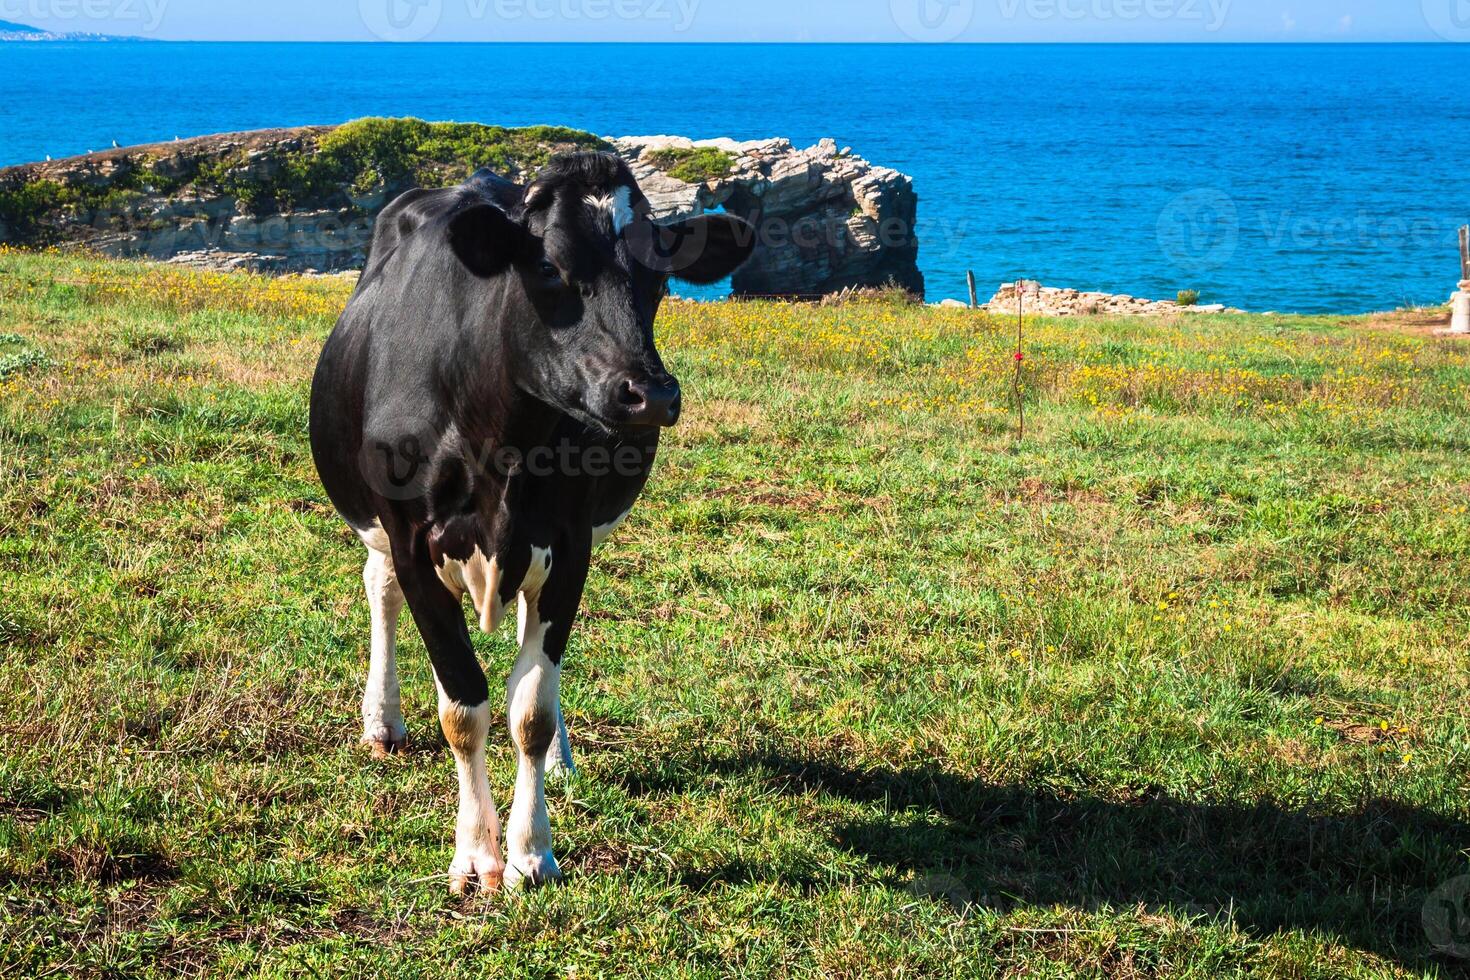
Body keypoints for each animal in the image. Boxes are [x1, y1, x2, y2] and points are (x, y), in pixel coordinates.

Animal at [305, 149, 752, 893]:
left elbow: (530, 709)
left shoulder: (570, 547)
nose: (650, 394)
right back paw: (383, 721)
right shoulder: (413, 543)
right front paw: (475, 856)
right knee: (380, 590)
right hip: (380, 528)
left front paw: (531, 851)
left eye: (659, 275)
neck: (501, 439)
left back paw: (561, 761)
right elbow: (462, 707)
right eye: (549, 268)